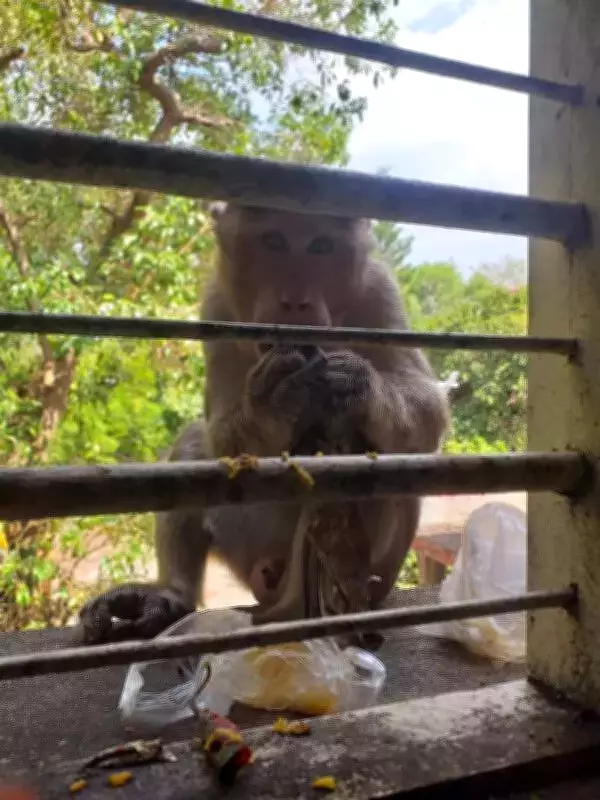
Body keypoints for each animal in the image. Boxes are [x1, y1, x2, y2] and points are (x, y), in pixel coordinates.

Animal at [78, 203, 450, 645]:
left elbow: (427, 411)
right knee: (195, 442)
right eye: (274, 240)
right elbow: (222, 432)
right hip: (246, 542)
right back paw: (171, 595)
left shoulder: (380, 289)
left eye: (321, 245)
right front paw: (273, 397)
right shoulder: (217, 303)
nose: (296, 301)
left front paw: (358, 384)